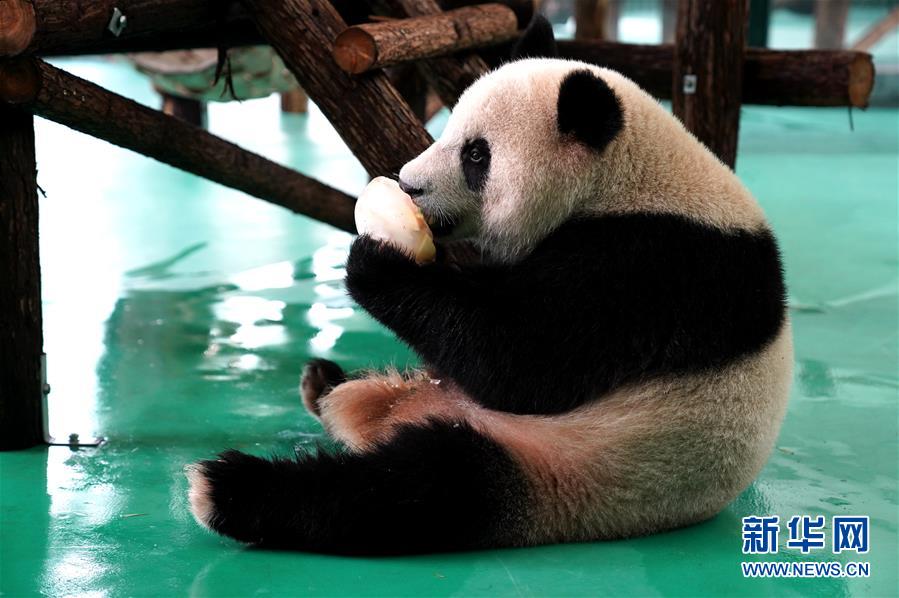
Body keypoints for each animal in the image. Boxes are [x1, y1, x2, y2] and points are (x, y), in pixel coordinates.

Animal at [186, 15, 792, 556]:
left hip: (572, 466)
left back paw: (226, 489)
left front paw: (377, 262)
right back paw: (325, 383)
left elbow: (520, 363)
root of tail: (398, 417)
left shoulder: (653, 267)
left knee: (424, 487)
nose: (409, 184)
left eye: (476, 155)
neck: (630, 178)